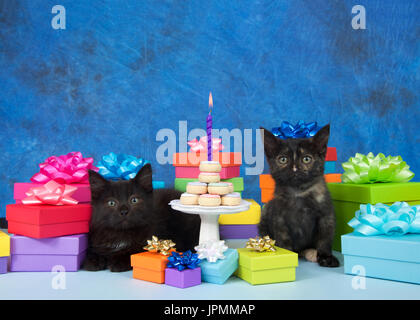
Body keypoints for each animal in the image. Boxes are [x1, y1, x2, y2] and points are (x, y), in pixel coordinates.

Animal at [258, 125, 340, 268]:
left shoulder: (326, 214)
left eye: (306, 159)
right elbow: (283, 238)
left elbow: (325, 237)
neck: (298, 192)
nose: (295, 169)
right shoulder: (279, 218)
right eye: (283, 159)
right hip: (266, 212)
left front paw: (326, 256)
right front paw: (286, 255)